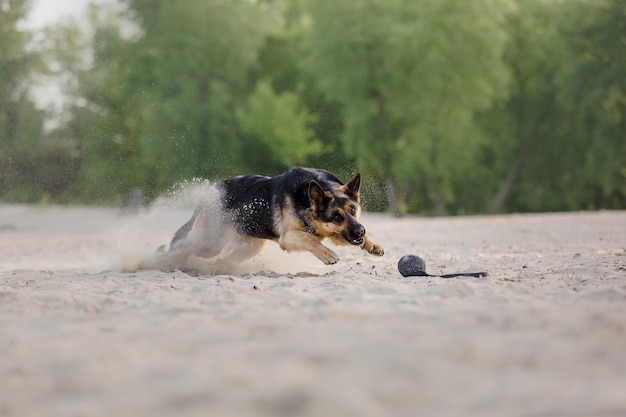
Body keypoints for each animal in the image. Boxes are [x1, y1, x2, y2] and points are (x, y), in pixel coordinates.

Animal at [145, 167, 380, 272]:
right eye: (336, 216)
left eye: (353, 210)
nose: (360, 232)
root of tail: (210, 194)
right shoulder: (288, 237)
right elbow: (311, 240)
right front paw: (328, 254)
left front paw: (372, 245)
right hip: (209, 243)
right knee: (182, 247)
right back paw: (162, 261)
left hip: (248, 248)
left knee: (222, 260)